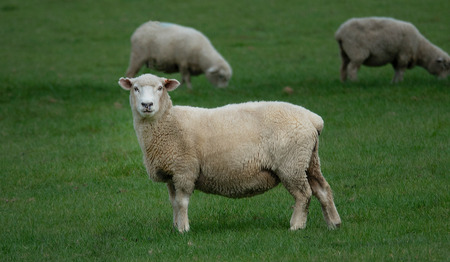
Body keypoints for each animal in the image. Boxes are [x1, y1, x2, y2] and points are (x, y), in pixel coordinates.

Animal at [118, 72, 342, 232]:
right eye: (136, 88)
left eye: (160, 88)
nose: (147, 105)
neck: (168, 123)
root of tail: (312, 119)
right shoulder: (171, 173)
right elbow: (173, 203)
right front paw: (175, 227)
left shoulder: (184, 169)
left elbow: (181, 202)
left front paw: (183, 229)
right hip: (309, 160)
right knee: (323, 189)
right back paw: (333, 223)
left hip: (291, 163)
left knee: (304, 194)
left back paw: (296, 225)